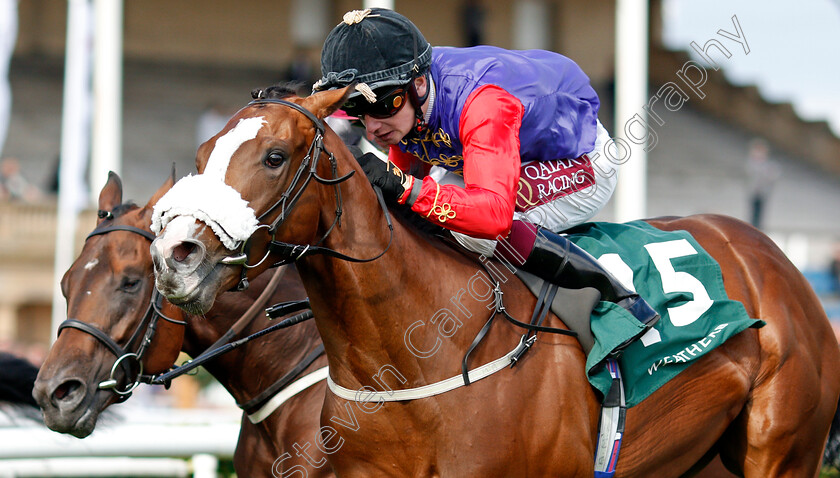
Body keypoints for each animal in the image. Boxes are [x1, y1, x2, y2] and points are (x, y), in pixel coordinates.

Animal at [149, 87, 840, 478]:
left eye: (274, 156)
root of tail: (772, 255)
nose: (177, 253)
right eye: (204, 153)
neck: (412, 358)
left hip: (781, 450)